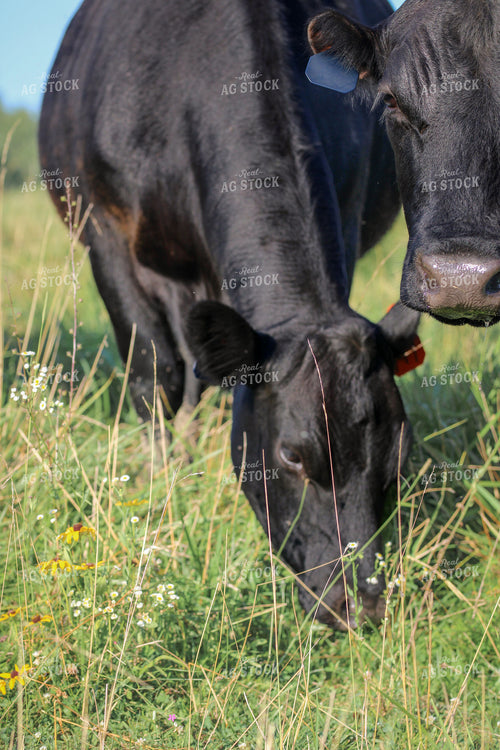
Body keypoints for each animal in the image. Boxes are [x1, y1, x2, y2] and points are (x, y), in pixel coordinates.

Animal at [38, 0, 423, 630]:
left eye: (398, 452)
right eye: (292, 455)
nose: (361, 605)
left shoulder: (347, 210)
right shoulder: (108, 234)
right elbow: (156, 377)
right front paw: (162, 488)